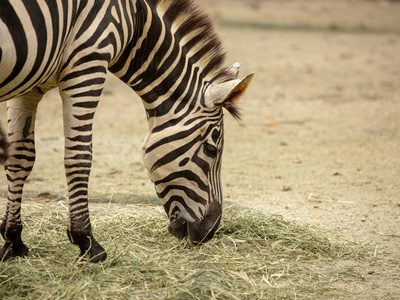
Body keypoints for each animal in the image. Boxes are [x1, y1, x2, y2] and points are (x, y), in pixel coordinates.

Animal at [0, 0, 252, 262]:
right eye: (211, 149)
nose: (210, 232)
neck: (134, 22)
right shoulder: (88, 64)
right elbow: (79, 156)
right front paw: (87, 242)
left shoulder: (31, 85)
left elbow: (21, 157)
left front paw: (13, 241)